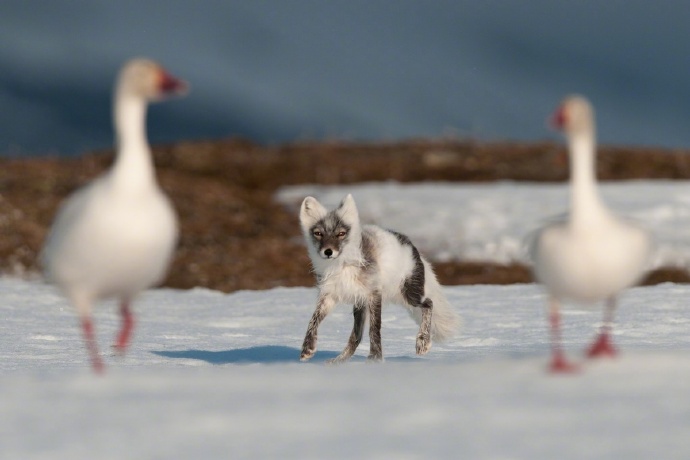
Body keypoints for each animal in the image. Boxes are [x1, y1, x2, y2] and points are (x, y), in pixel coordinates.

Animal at [296, 192, 454, 362]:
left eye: (341, 234)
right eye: (318, 233)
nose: (328, 251)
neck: (341, 265)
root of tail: (410, 244)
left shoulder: (374, 294)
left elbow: (374, 328)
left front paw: (375, 358)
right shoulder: (330, 295)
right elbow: (313, 321)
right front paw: (307, 348)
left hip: (408, 295)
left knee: (428, 303)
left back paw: (423, 341)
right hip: (360, 305)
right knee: (356, 337)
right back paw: (338, 361)